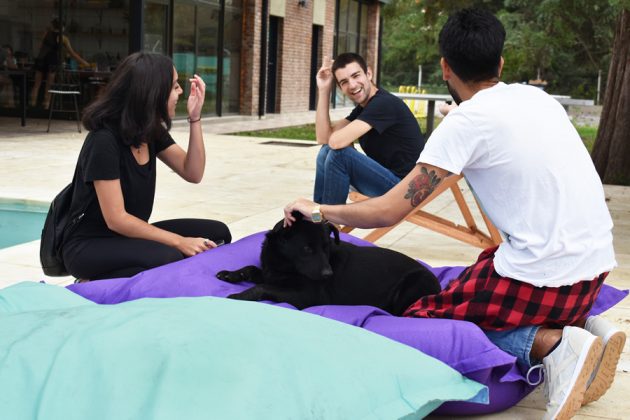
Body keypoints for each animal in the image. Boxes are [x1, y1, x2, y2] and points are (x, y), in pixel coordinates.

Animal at [216, 212, 441, 316]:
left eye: (326, 247)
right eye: (307, 249)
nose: (327, 275)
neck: (286, 265)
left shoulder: (308, 296)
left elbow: (262, 287)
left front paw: (238, 296)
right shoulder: (273, 273)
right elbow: (253, 270)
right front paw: (231, 274)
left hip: (411, 285)